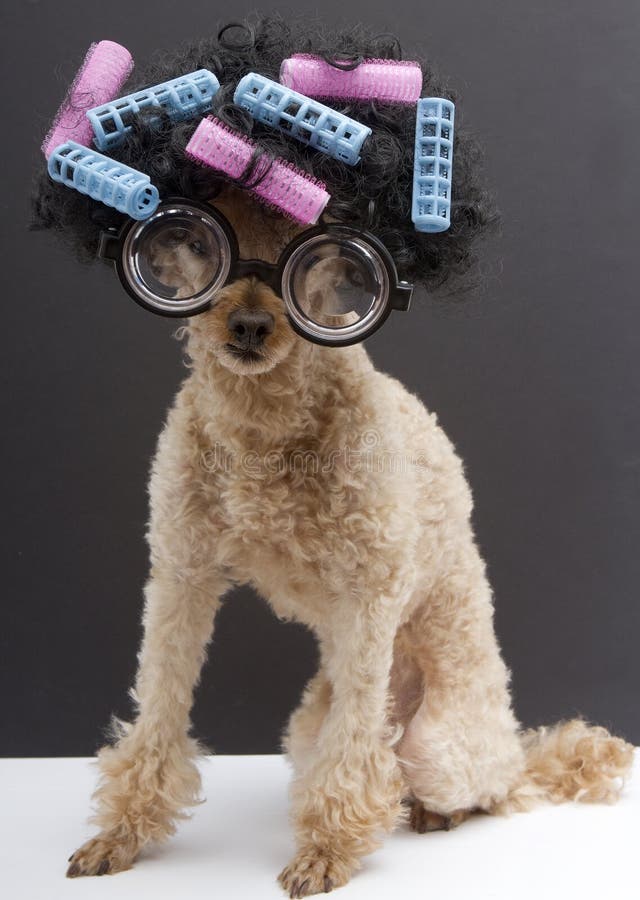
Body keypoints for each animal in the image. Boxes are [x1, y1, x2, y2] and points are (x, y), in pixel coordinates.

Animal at [62, 186, 632, 896]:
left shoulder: (369, 597)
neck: (262, 425)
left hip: (439, 742)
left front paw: (326, 849)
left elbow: (356, 745)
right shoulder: (180, 574)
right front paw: (122, 833)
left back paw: (435, 811)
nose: (249, 326)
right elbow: (160, 708)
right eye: (195, 241)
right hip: (306, 727)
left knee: (485, 787)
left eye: (313, 252)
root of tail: (514, 746)